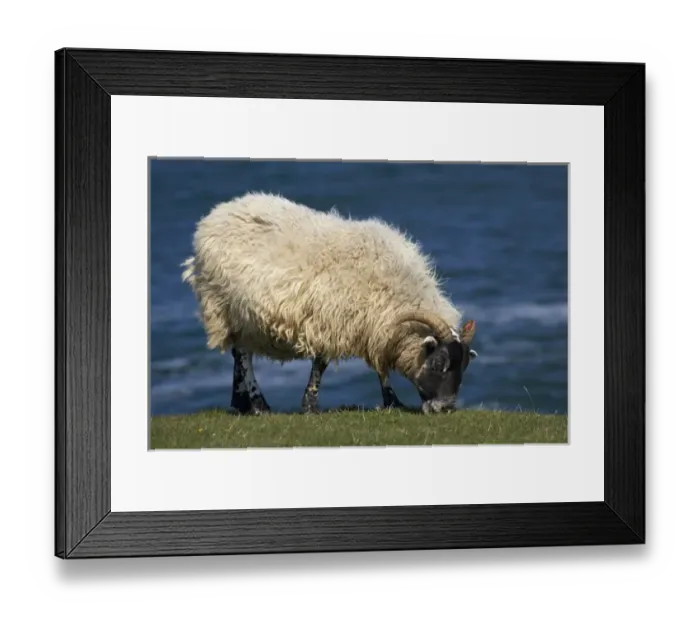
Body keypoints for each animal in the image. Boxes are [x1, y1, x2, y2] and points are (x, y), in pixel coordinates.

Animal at [181, 192, 478, 414]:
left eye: (464, 365)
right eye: (438, 363)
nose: (445, 408)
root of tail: (218, 212)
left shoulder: (374, 327)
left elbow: (379, 367)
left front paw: (392, 401)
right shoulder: (330, 320)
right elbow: (321, 364)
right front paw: (310, 406)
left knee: (239, 353)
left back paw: (241, 402)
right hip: (229, 307)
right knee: (243, 355)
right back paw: (257, 404)